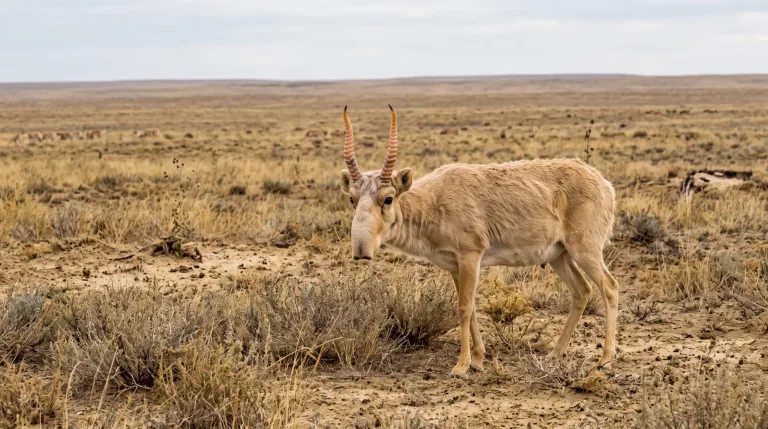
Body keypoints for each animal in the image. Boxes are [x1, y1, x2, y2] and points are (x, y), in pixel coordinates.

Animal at [339, 106, 619, 376]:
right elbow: (472, 308)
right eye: (352, 198)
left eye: (388, 199)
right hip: (559, 255)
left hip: (585, 250)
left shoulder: (470, 256)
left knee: (610, 287)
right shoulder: (455, 266)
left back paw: (605, 361)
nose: (361, 250)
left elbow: (464, 308)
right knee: (582, 290)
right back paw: (555, 353)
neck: (432, 202)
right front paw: (477, 360)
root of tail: (605, 184)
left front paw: (461, 366)